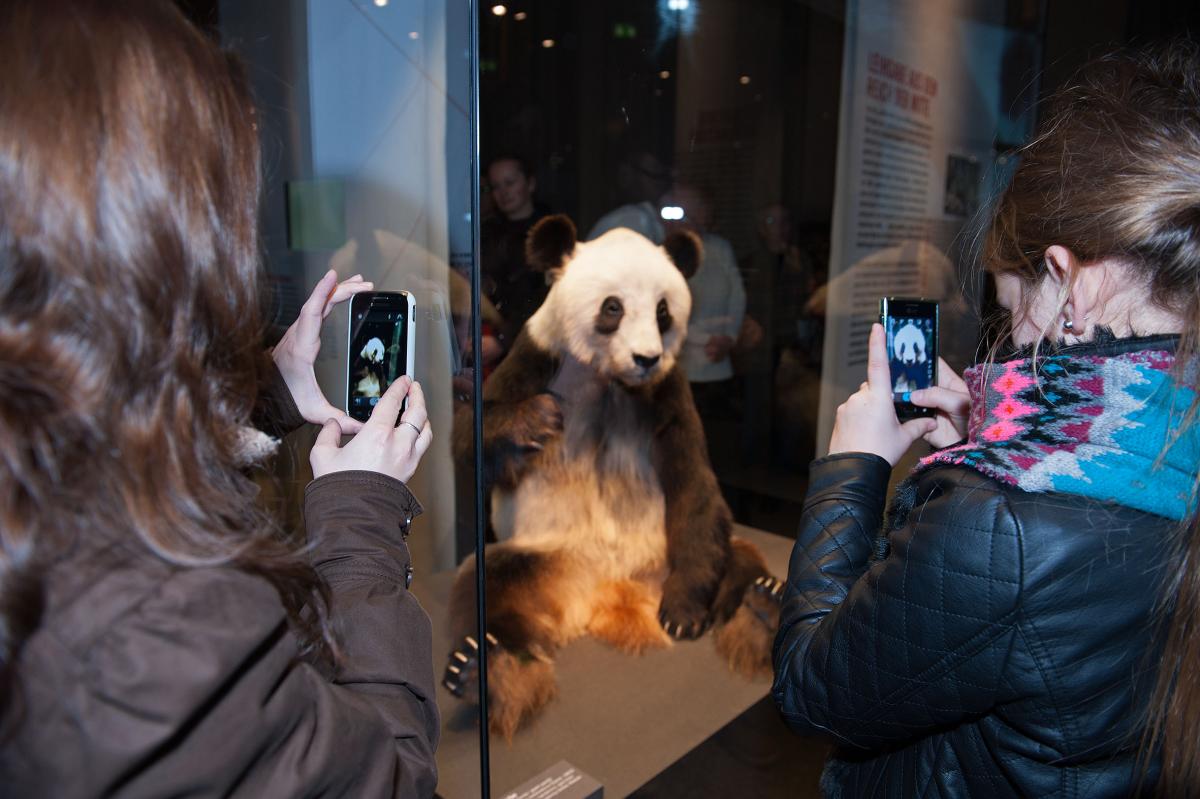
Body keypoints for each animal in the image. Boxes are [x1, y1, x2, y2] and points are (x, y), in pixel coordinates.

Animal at [446, 215, 782, 734]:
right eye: (613, 307)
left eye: (663, 311)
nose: (646, 358)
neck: (607, 376)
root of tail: (609, 591)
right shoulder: (539, 357)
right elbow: (470, 437)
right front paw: (538, 419)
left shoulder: (667, 390)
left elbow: (696, 483)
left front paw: (684, 615)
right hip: (541, 555)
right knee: (485, 591)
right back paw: (485, 669)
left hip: (667, 549)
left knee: (736, 555)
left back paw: (762, 606)